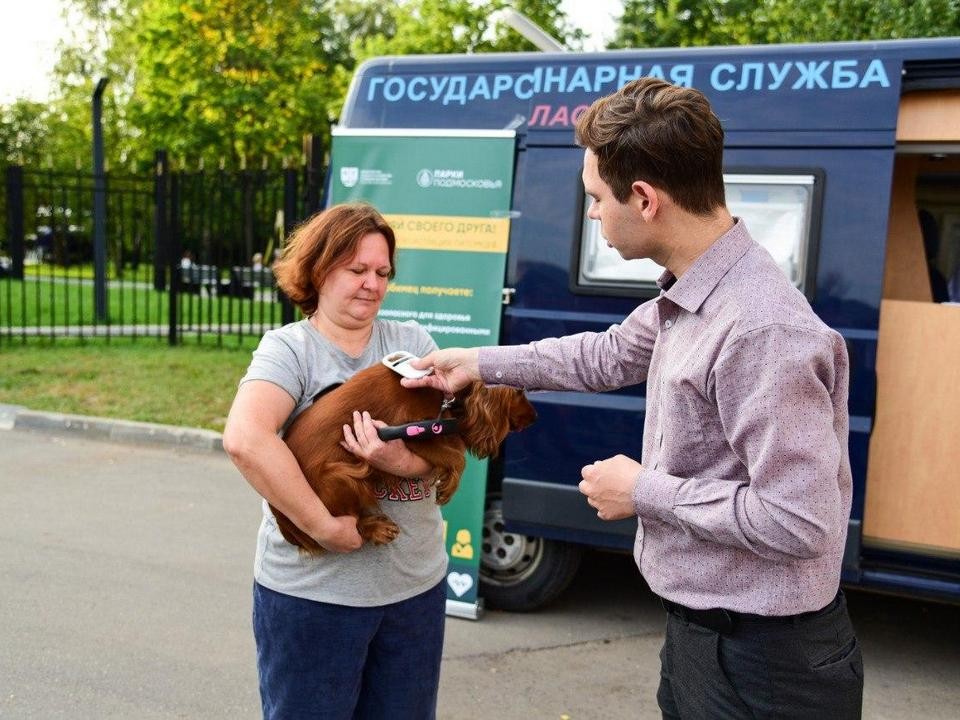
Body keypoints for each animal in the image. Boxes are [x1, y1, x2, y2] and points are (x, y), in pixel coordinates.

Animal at [274, 362, 536, 556]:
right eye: (519, 392)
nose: (535, 417)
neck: (443, 393)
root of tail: (283, 521)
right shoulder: (412, 433)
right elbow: (456, 458)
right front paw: (448, 487)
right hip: (340, 476)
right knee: (346, 523)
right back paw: (377, 528)